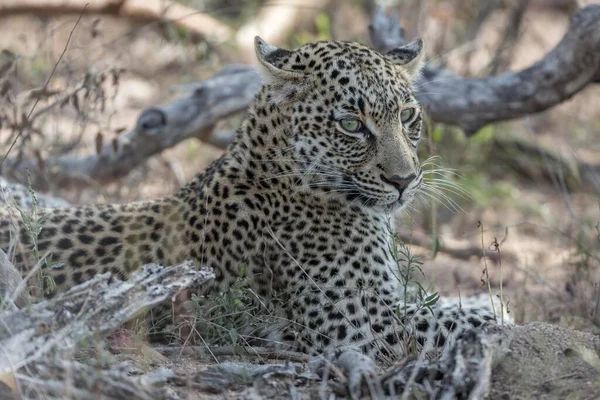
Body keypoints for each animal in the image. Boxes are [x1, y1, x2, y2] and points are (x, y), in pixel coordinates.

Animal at [2, 37, 504, 388]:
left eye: (407, 117)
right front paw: (495, 313)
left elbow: (444, 304)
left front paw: (486, 301)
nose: (405, 180)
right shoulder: (355, 323)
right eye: (351, 125)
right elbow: (455, 322)